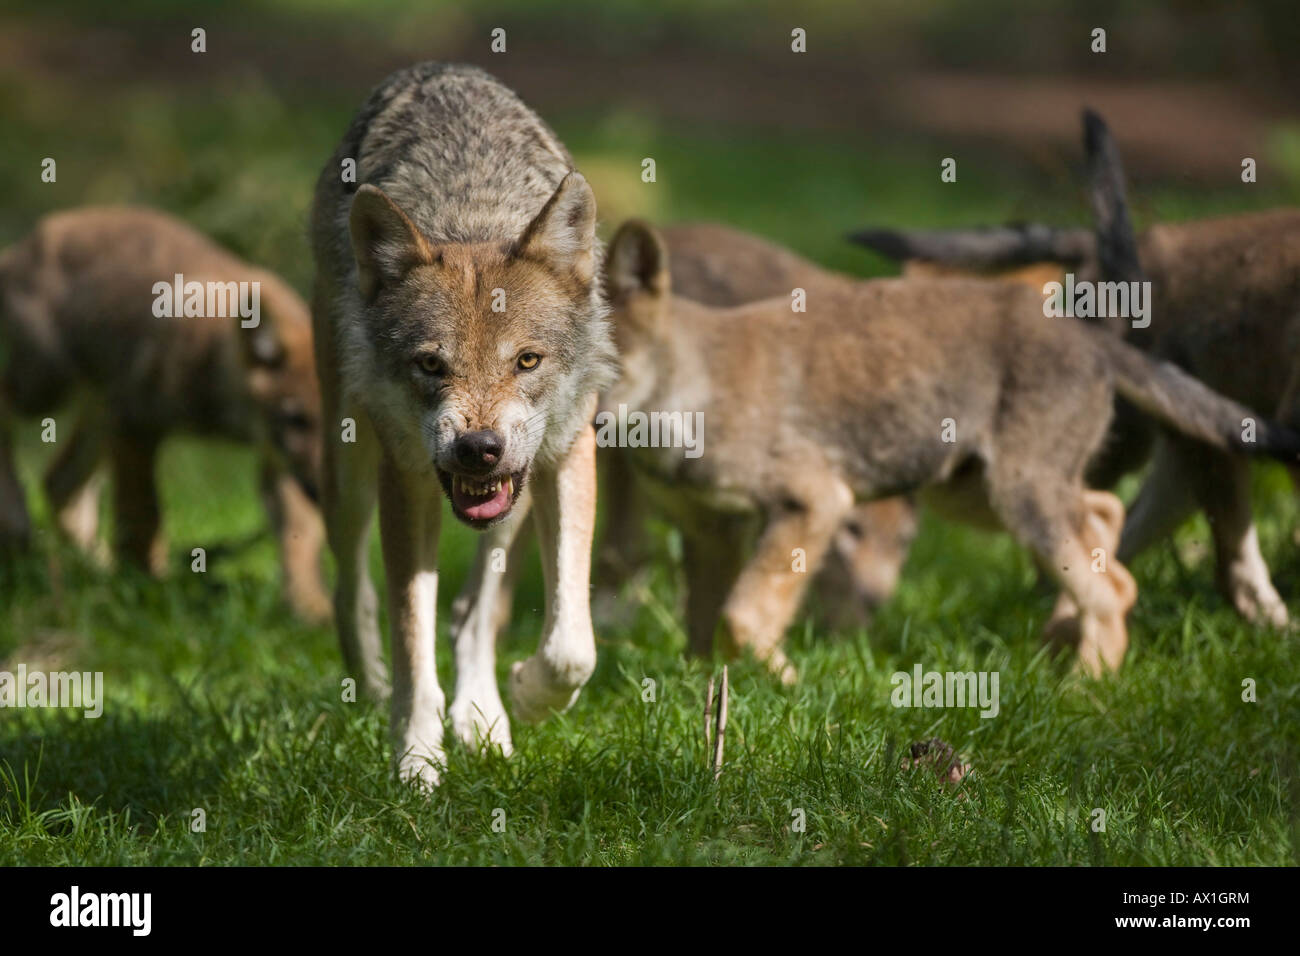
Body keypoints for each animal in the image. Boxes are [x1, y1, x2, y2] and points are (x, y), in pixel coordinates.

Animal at [0, 206, 330, 624]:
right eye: (297, 419)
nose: (323, 491)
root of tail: (20, 247)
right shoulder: (136, 425)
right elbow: (145, 518)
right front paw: (148, 595)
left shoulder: (276, 460)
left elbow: (300, 537)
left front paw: (310, 607)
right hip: (46, 387)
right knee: (7, 408)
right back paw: (16, 522)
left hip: (95, 409)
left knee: (59, 484)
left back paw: (92, 573)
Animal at [313, 63, 618, 790]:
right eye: (431, 364)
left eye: (527, 360)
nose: (478, 448)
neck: (473, 213)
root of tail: (438, 69)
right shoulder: (406, 482)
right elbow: (411, 638)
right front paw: (417, 758)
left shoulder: (567, 453)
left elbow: (573, 645)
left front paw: (528, 697)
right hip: (348, 474)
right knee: (350, 588)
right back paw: (369, 685)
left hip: (516, 499)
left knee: (472, 615)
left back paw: (483, 718)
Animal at [600, 218, 1300, 681]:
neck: (683, 387)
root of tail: (1094, 339)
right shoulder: (709, 530)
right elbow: (705, 630)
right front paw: (701, 703)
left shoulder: (813, 502)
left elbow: (741, 618)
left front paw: (781, 684)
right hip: (981, 492)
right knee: (1108, 532)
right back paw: (1060, 649)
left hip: (1017, 495)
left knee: (1107, 588)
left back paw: (1083, 691)